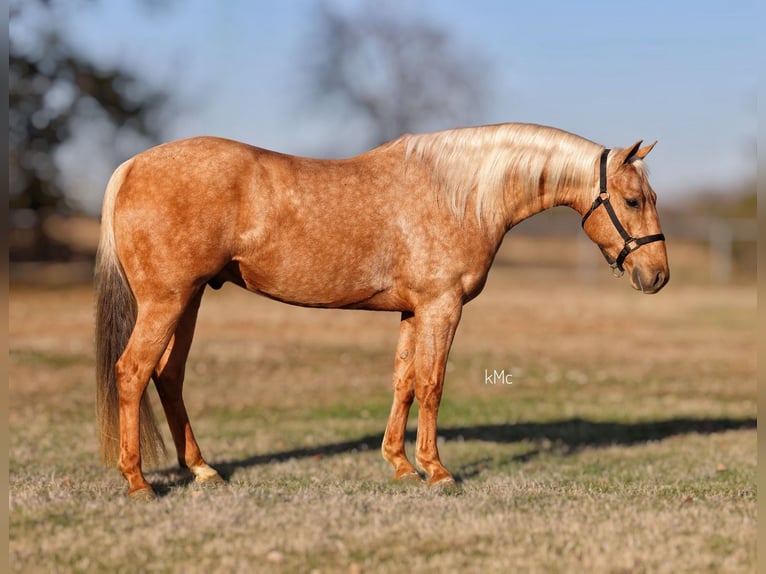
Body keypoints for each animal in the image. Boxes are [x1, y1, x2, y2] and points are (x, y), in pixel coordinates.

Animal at [96, 122, 668, 500]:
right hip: (167, 301)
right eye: (634, 200)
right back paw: (139, 483)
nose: (657, 276)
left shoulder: (413, 312)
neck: (459, 193)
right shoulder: (441, 307)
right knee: (132, 372)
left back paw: (203, 470)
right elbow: (432, 384)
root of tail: (130, 166)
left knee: (168, 376)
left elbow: (405, 382)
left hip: (188, 300)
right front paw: (438, 472)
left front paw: (400, 465)